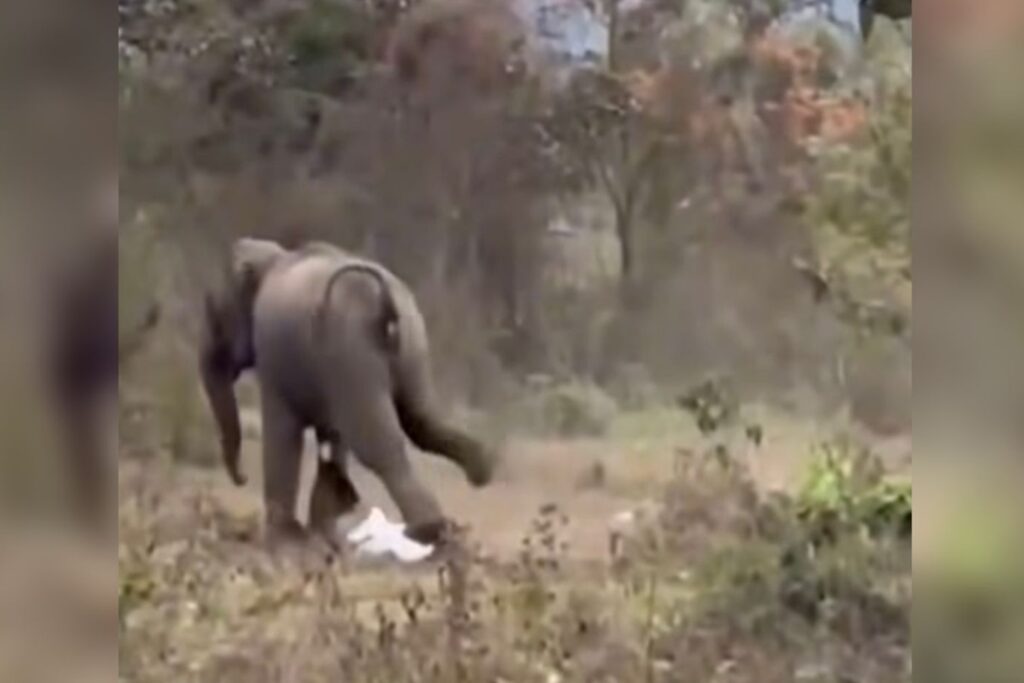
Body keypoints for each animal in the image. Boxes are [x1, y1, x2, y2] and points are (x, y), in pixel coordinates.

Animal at [199, 238, 496, 546]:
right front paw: (322, 535)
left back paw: (429, 530)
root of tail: (382, 299)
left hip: (353, 349)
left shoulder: (274, 354)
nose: (242, 478)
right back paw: (483, 469)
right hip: (410, 341)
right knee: (421, 420)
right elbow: (331, 436)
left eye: (213, 314)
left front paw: (286, 540)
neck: (272, 257)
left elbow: (283, 430)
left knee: (377, 444)